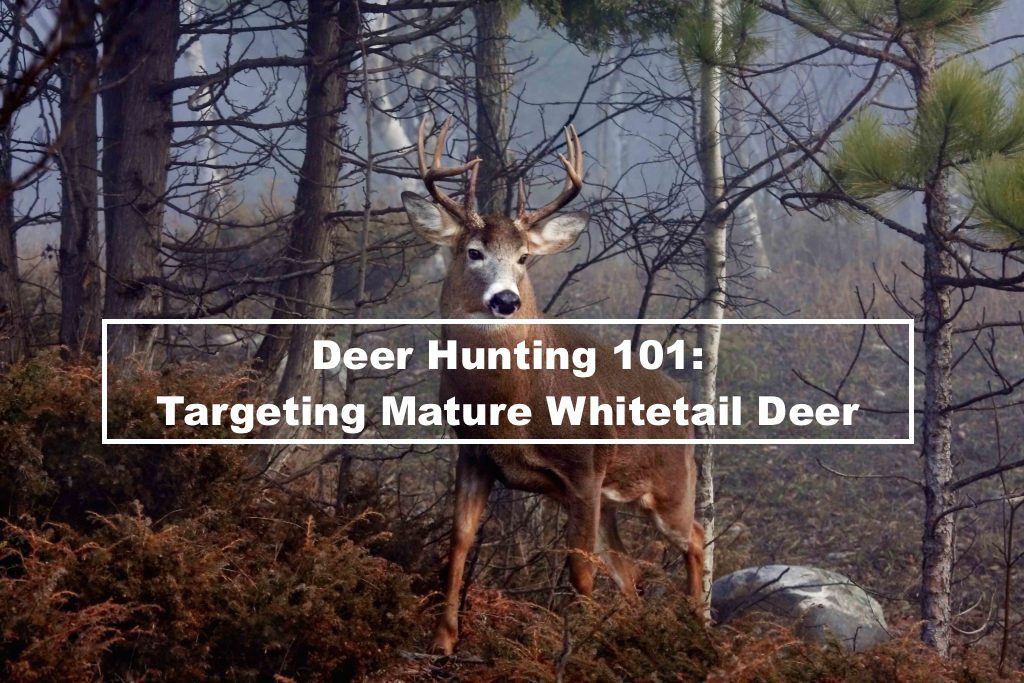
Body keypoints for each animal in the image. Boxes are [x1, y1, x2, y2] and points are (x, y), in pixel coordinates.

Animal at [401, 117, 704, 655]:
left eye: (524, 257)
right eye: (473, 252)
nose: (505, 300)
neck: (511, 408)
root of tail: (684, 401)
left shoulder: (583, 469)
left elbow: (579, 570)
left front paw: (573, 650)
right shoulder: (474, 455)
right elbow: (459, 543)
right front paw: (442, 640)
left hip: (670, 484)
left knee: (696, 535)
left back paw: (701, 627)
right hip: (612, 501)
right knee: (630, 571)